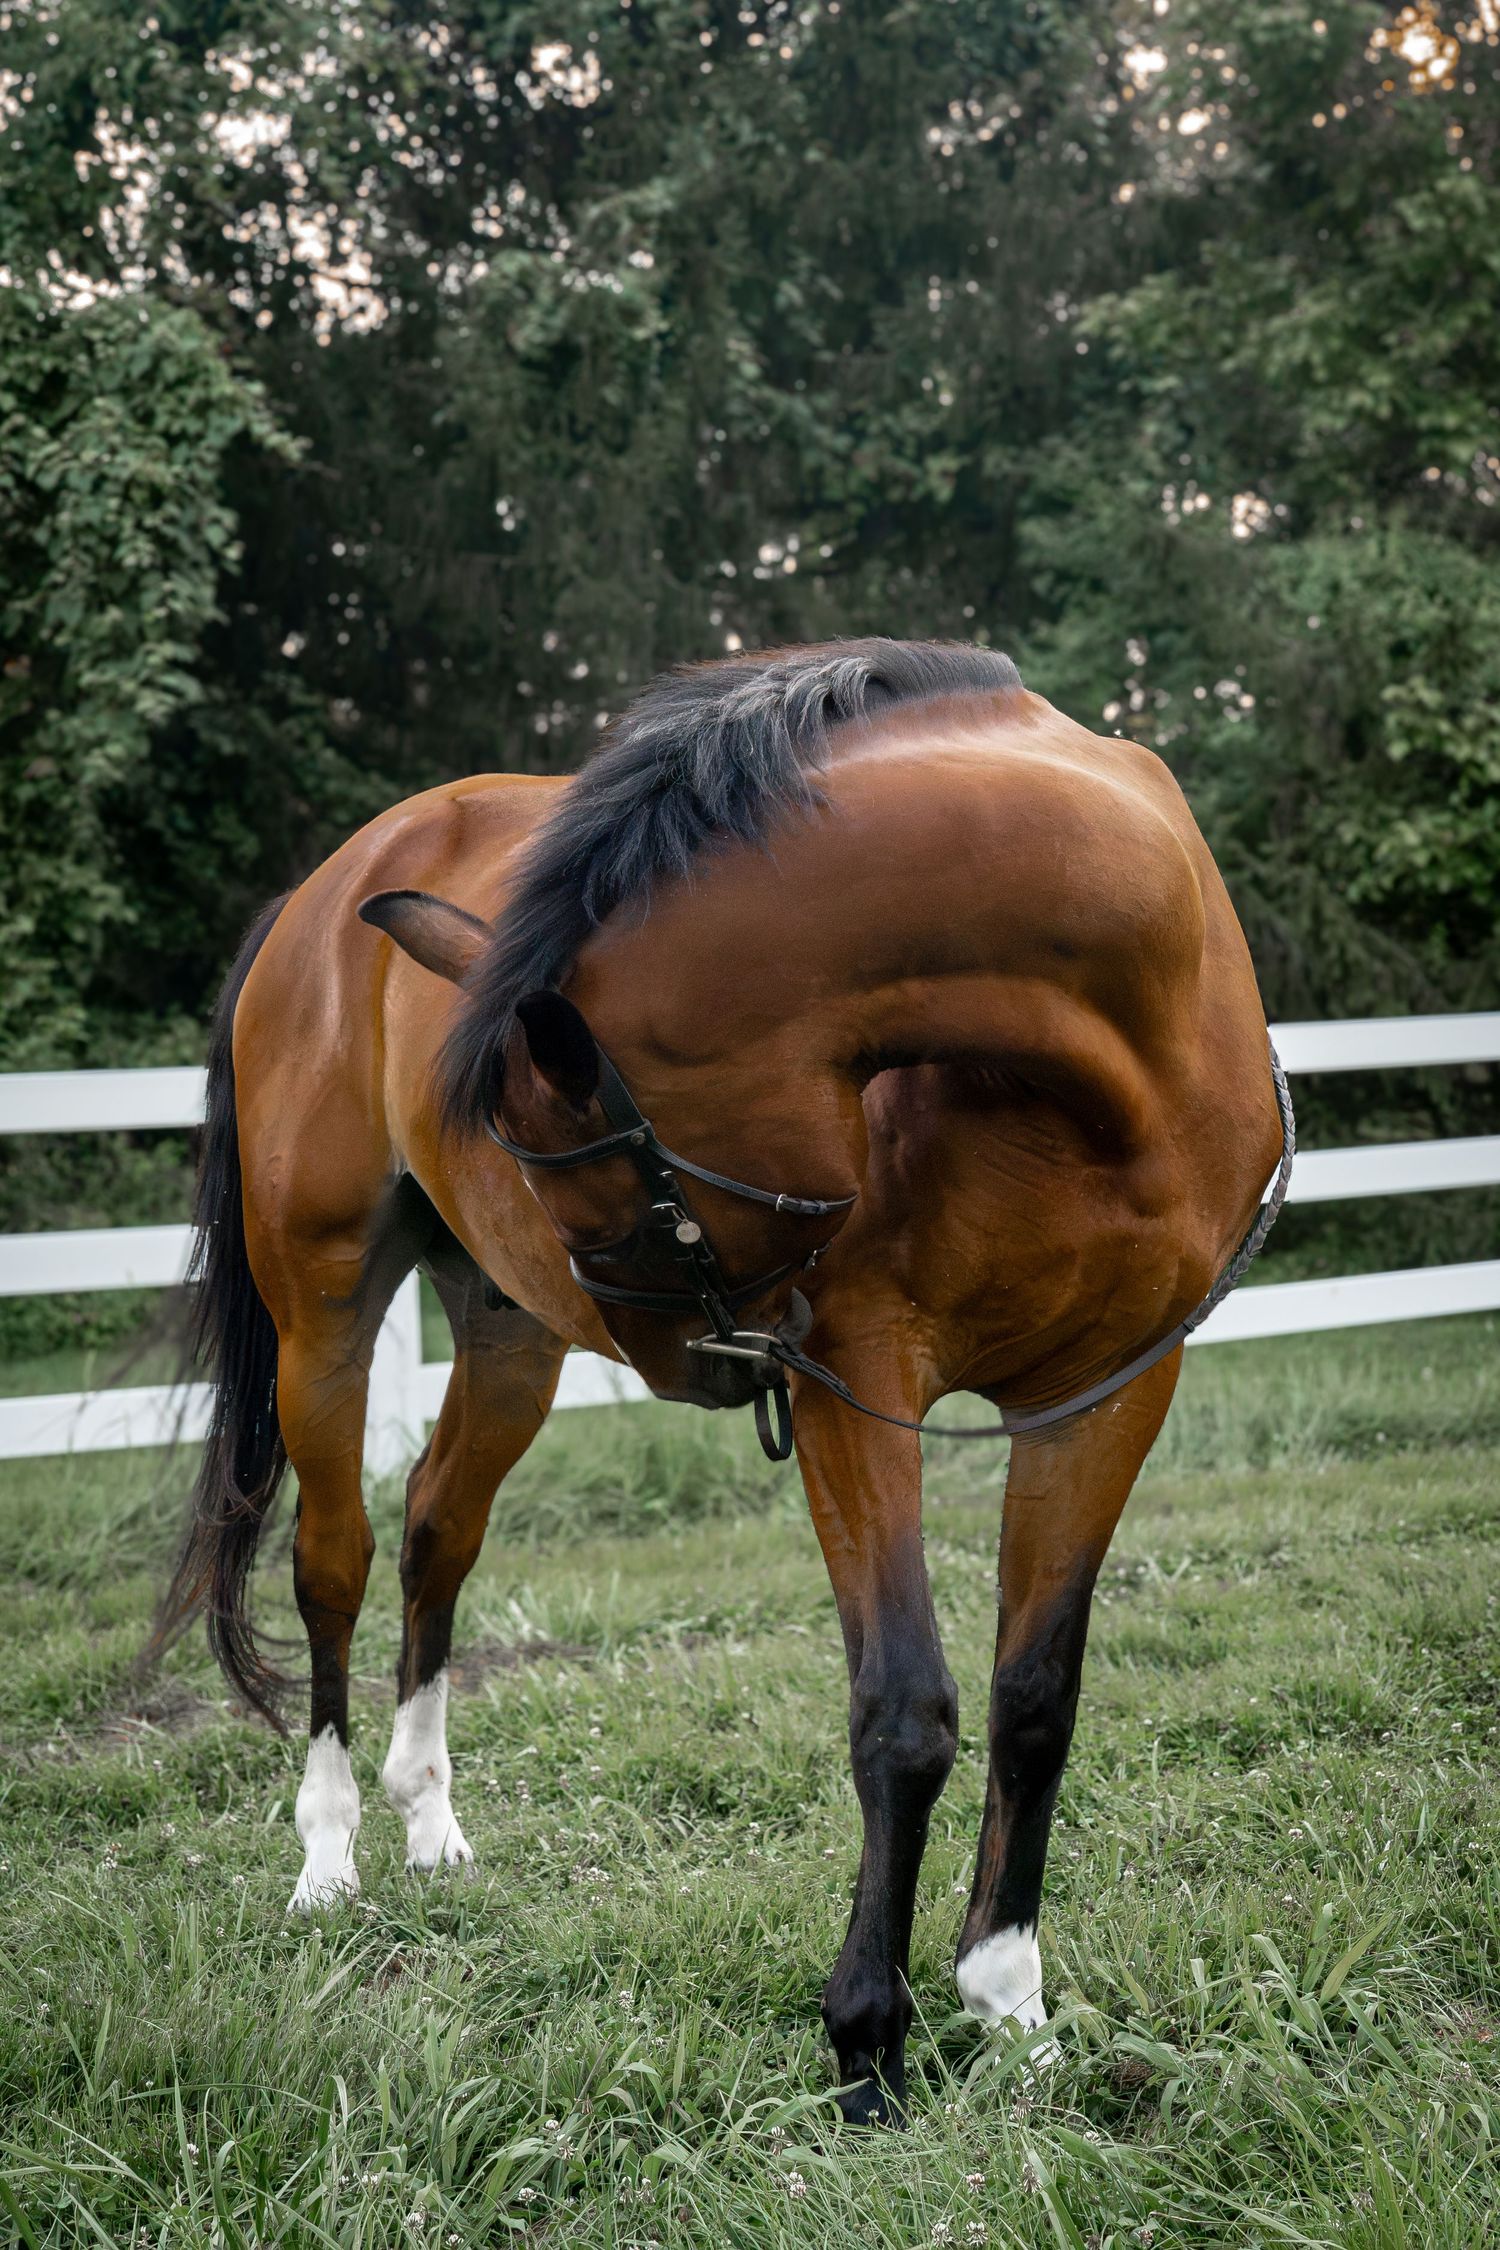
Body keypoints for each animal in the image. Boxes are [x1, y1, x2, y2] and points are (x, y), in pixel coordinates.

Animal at [154, 638, 1288, 2125]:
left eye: (612, 1200)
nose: (710, 1361)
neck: (1111, 1055)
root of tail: (323, 890)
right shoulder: (857, 1385)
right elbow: (905, 1711)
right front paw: (870, 2044)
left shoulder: (1104, 1395)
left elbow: (1035, 1699)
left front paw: (1011, 2007)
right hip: (324, 1307)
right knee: (332, 1563)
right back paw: (329, 1855)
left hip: (507, 1331)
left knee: (437, 1535)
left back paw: (431, 1819)